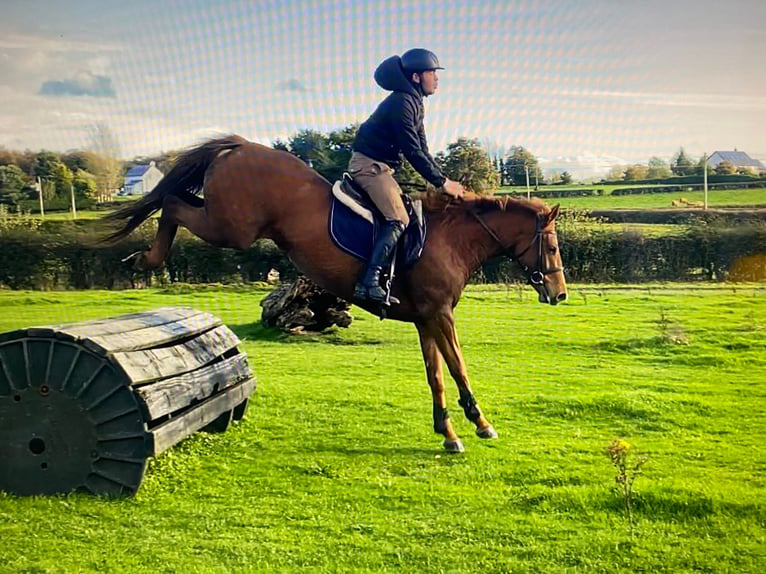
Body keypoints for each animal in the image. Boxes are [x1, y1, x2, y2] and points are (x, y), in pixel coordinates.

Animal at [105, 136, 568, 454]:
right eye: (552, 247)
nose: (560, 295)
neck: (451, 238)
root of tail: (241, 146)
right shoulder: (440, 315)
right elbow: (458, 368)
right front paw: (480, 422)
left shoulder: (425, 318)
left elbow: (436, 375)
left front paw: (448, 432)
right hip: (232, 227)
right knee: (171, 202)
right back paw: (145, 257)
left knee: (176, 198)